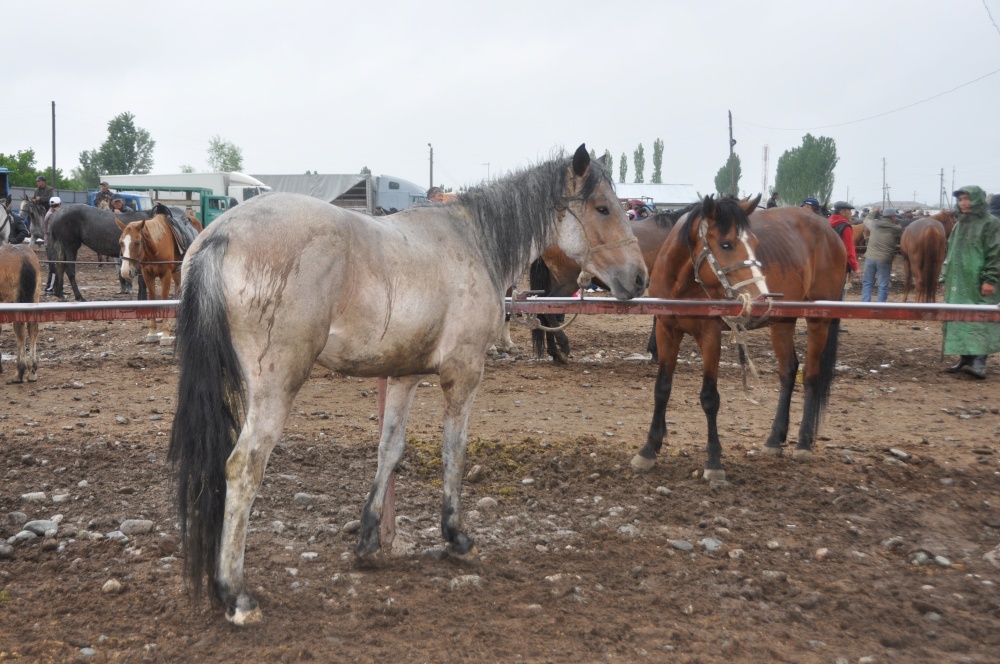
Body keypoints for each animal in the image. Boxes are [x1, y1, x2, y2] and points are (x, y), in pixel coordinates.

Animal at [0, 244, 42, 382]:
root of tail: (25, 260)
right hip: (35, 298)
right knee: (33, 327)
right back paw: (32, 370)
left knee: (19, 329)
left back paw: (19, 371)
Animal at [632, 198, 844, 482]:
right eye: (726, 244)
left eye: (754, 242)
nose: (761, 297)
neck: (682, 283)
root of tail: (828, 231)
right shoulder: (667, 331)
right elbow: (662, 389)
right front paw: (649, 449)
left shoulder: (710, 336)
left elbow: (710, 397)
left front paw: (714, 462)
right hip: (783, 323)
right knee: (788, 371)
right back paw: (774, 439)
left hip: (819, 321)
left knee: (810, 375)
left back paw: (803, 443)